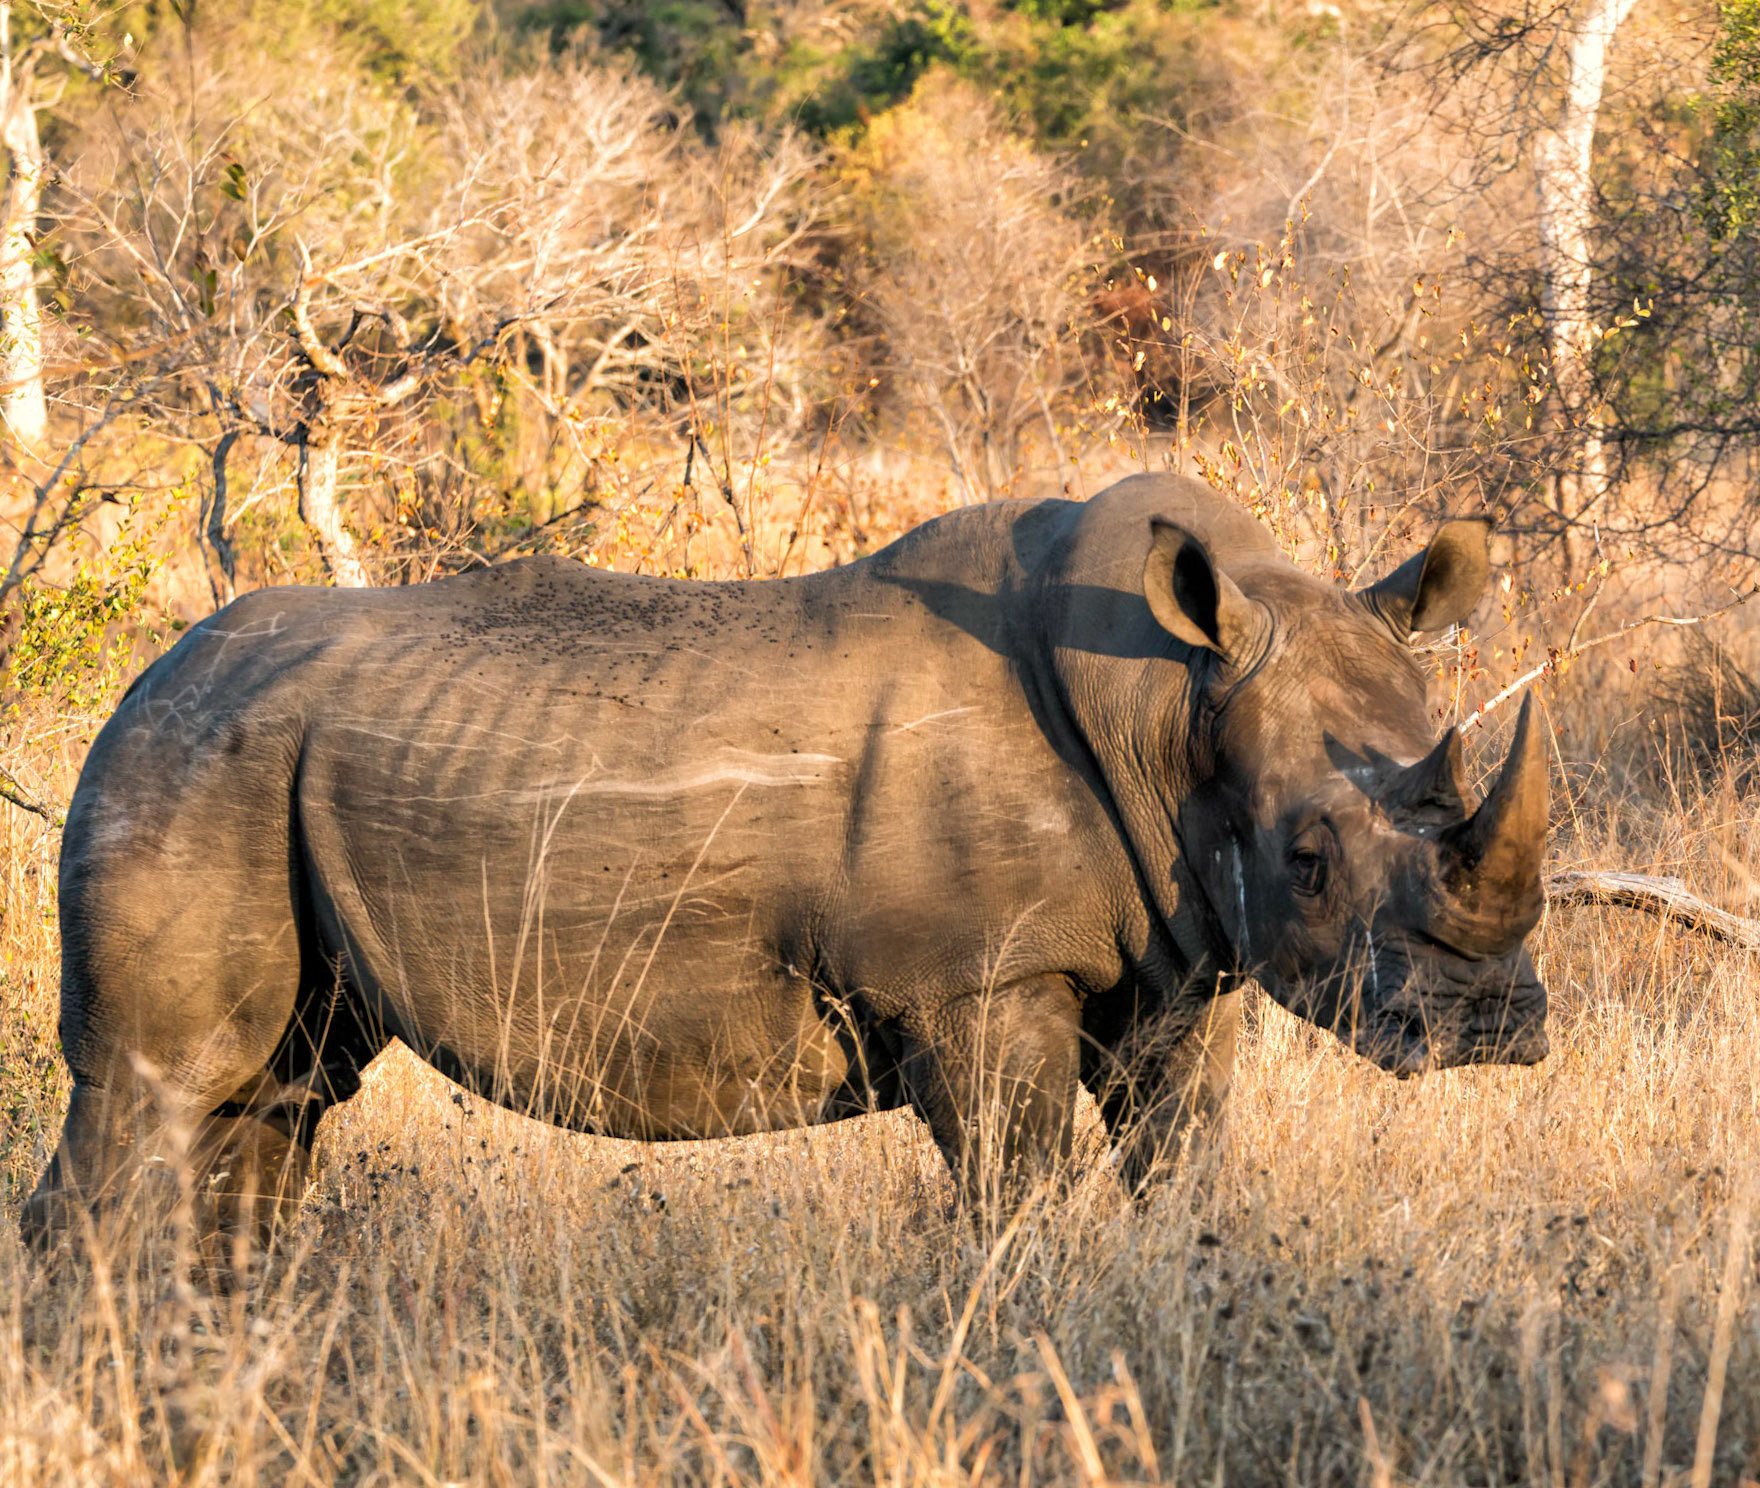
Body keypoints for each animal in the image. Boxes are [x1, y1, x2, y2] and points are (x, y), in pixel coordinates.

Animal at [22, 473, 1548, 1245]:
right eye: (1308, 857)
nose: (1491, 1028)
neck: (1169, 700)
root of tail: (139, 684)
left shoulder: (1180, 958)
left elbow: (1181, 1167)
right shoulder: (972, 982)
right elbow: (1016, 1193)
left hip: (249, 762)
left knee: (276, 1099)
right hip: (177, 769)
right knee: (161, 1087)